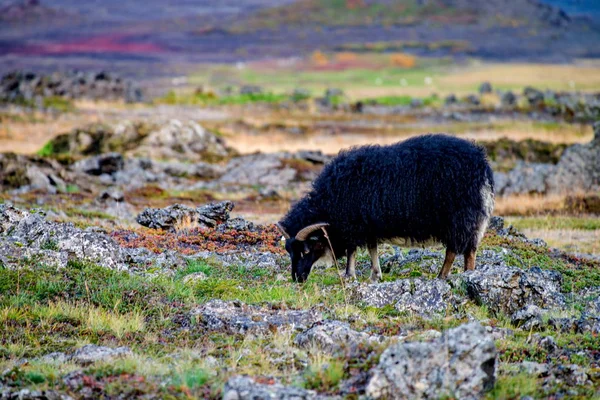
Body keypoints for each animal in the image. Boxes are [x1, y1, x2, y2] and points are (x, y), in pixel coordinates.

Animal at [276, 134, 492, 282]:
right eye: (289, 251)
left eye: (306, 250)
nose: (297, 279)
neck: (329, 202)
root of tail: (482, 165)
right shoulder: (368, 225)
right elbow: (373, 248)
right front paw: (375, 275)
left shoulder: (353, 225)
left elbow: (352, 251)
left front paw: (350, 275)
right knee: (466, 249)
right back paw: (463, 274)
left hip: (459, 217)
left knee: (457, 250)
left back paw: (449, 276)